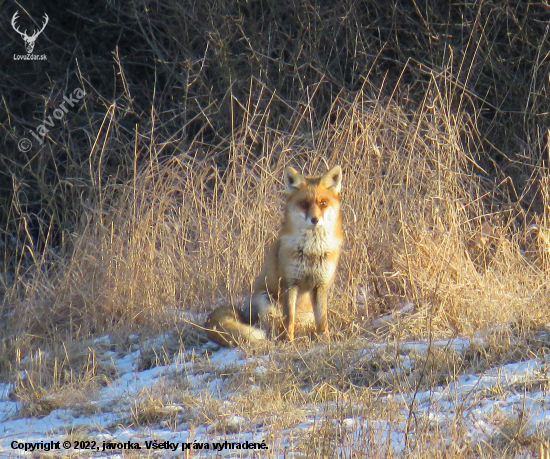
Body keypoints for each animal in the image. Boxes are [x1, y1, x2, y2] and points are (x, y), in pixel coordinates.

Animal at [207, 167, 344, 346]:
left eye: (323, 203)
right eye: (304, 204)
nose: (315, 219)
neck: (312, 250)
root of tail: (245, 312)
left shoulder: (320, 284)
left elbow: (322, 320)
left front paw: (325, 341)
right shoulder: (289, 282)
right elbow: (289, 319)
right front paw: (289, 342)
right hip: (266, 300)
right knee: (274, 324)